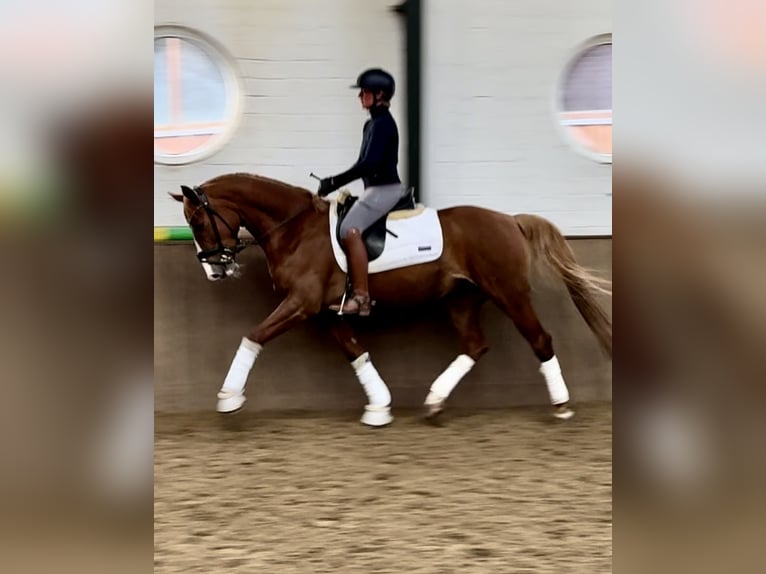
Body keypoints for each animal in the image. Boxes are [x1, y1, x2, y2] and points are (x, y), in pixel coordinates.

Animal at [169, 172, 612, 425]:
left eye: (198, 221)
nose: (214, 271)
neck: (294, 229)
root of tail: (510, 220)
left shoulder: (302, 304)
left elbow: (253, 336)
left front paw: (229, 398)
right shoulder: (328, 313)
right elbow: (356, 352)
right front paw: (379, 407)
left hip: (509, 293)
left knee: (540, 340)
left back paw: (561, 405)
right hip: (461, 300)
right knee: (475, 345)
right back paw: (434, 401)